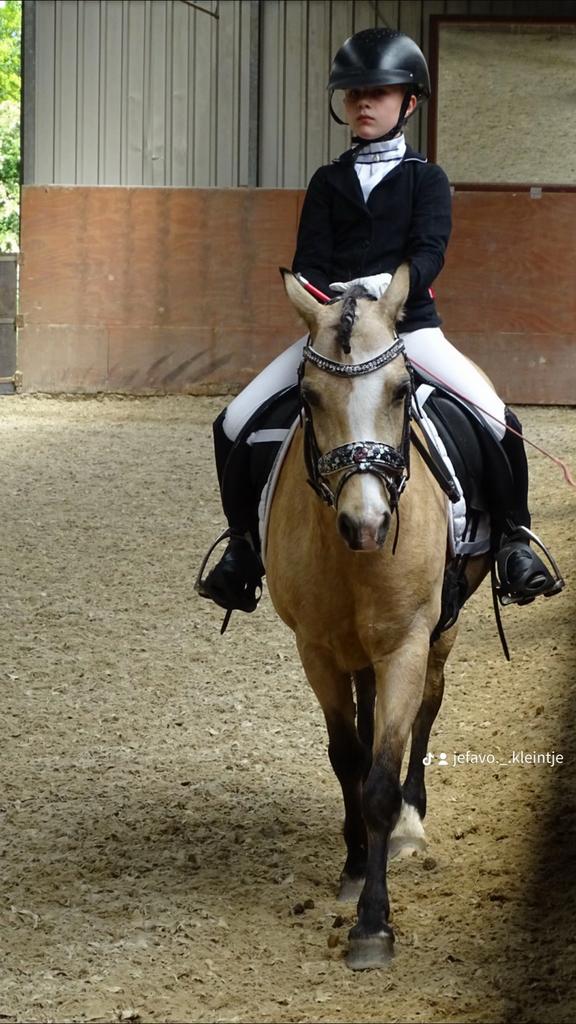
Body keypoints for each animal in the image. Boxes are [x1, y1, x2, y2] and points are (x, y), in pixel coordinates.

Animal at [265, 264, 489, 969]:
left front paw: (372, 926)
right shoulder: (315, 649)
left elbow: (383, 779)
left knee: (428, 708)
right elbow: (348, 758)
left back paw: (413, 823)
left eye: (401, 390)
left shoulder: (406, 646)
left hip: (441, 633)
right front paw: (356, 866)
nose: (366, 525)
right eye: (308, 397)